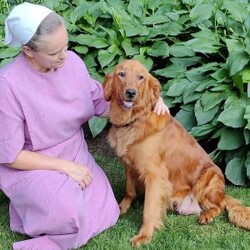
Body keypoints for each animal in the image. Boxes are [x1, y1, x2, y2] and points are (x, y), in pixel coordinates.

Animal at [102, 59, 250, 248]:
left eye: (141, 77)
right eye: (121, 74)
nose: (130, 92)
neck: (134, 120)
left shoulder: (155, 175)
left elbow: (149, 208)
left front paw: (145, 235)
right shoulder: (129, 165)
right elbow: (129, 190)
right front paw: (122, 208)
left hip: (208, 179)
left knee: (220, 204)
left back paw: (207, 215)